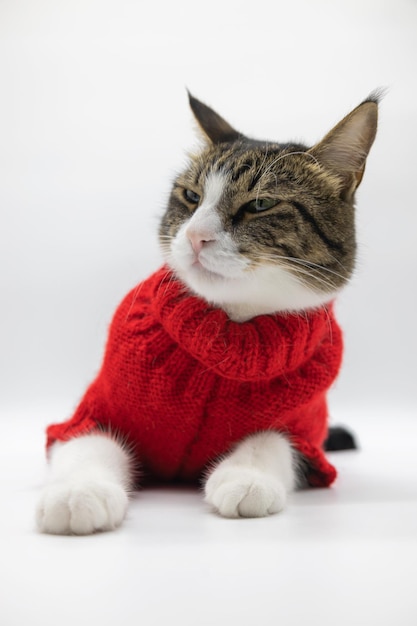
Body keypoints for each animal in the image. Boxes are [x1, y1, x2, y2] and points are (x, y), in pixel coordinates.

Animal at [36, 91, 376, 532]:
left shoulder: (304, 428)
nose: (196, 236)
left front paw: (246, 477)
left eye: (260, 204)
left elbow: (273, 441)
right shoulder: (94, 410)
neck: (227, 332)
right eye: (192, 196)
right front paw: (79, 492)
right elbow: (86, 443)